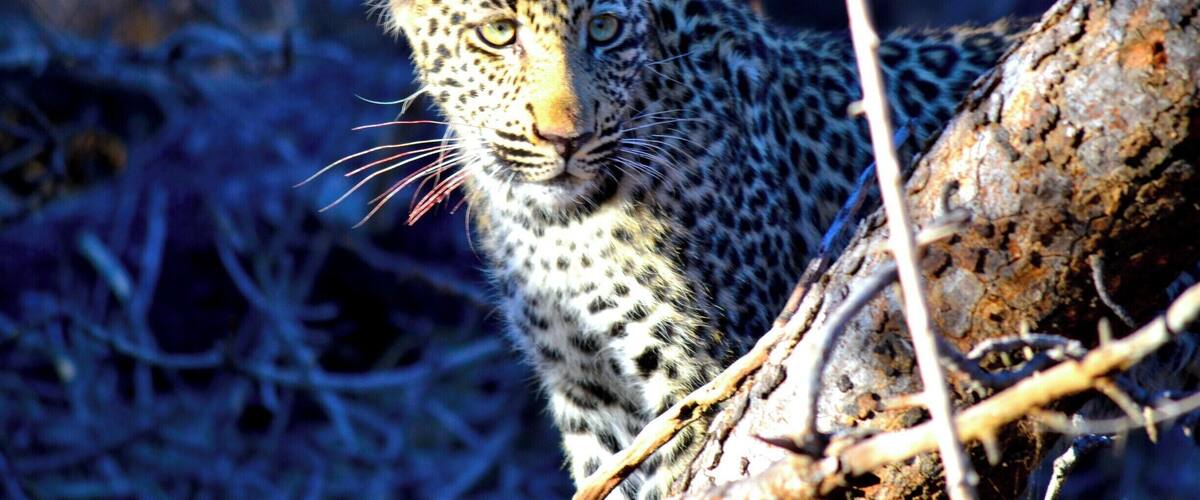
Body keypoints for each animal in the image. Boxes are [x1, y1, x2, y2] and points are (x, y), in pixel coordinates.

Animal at [372, 1, 1026, 498]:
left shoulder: (704, 372)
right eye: (498, 33)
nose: (565, 139)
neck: (553, 227)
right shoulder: (588, 392)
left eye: (603, 29)